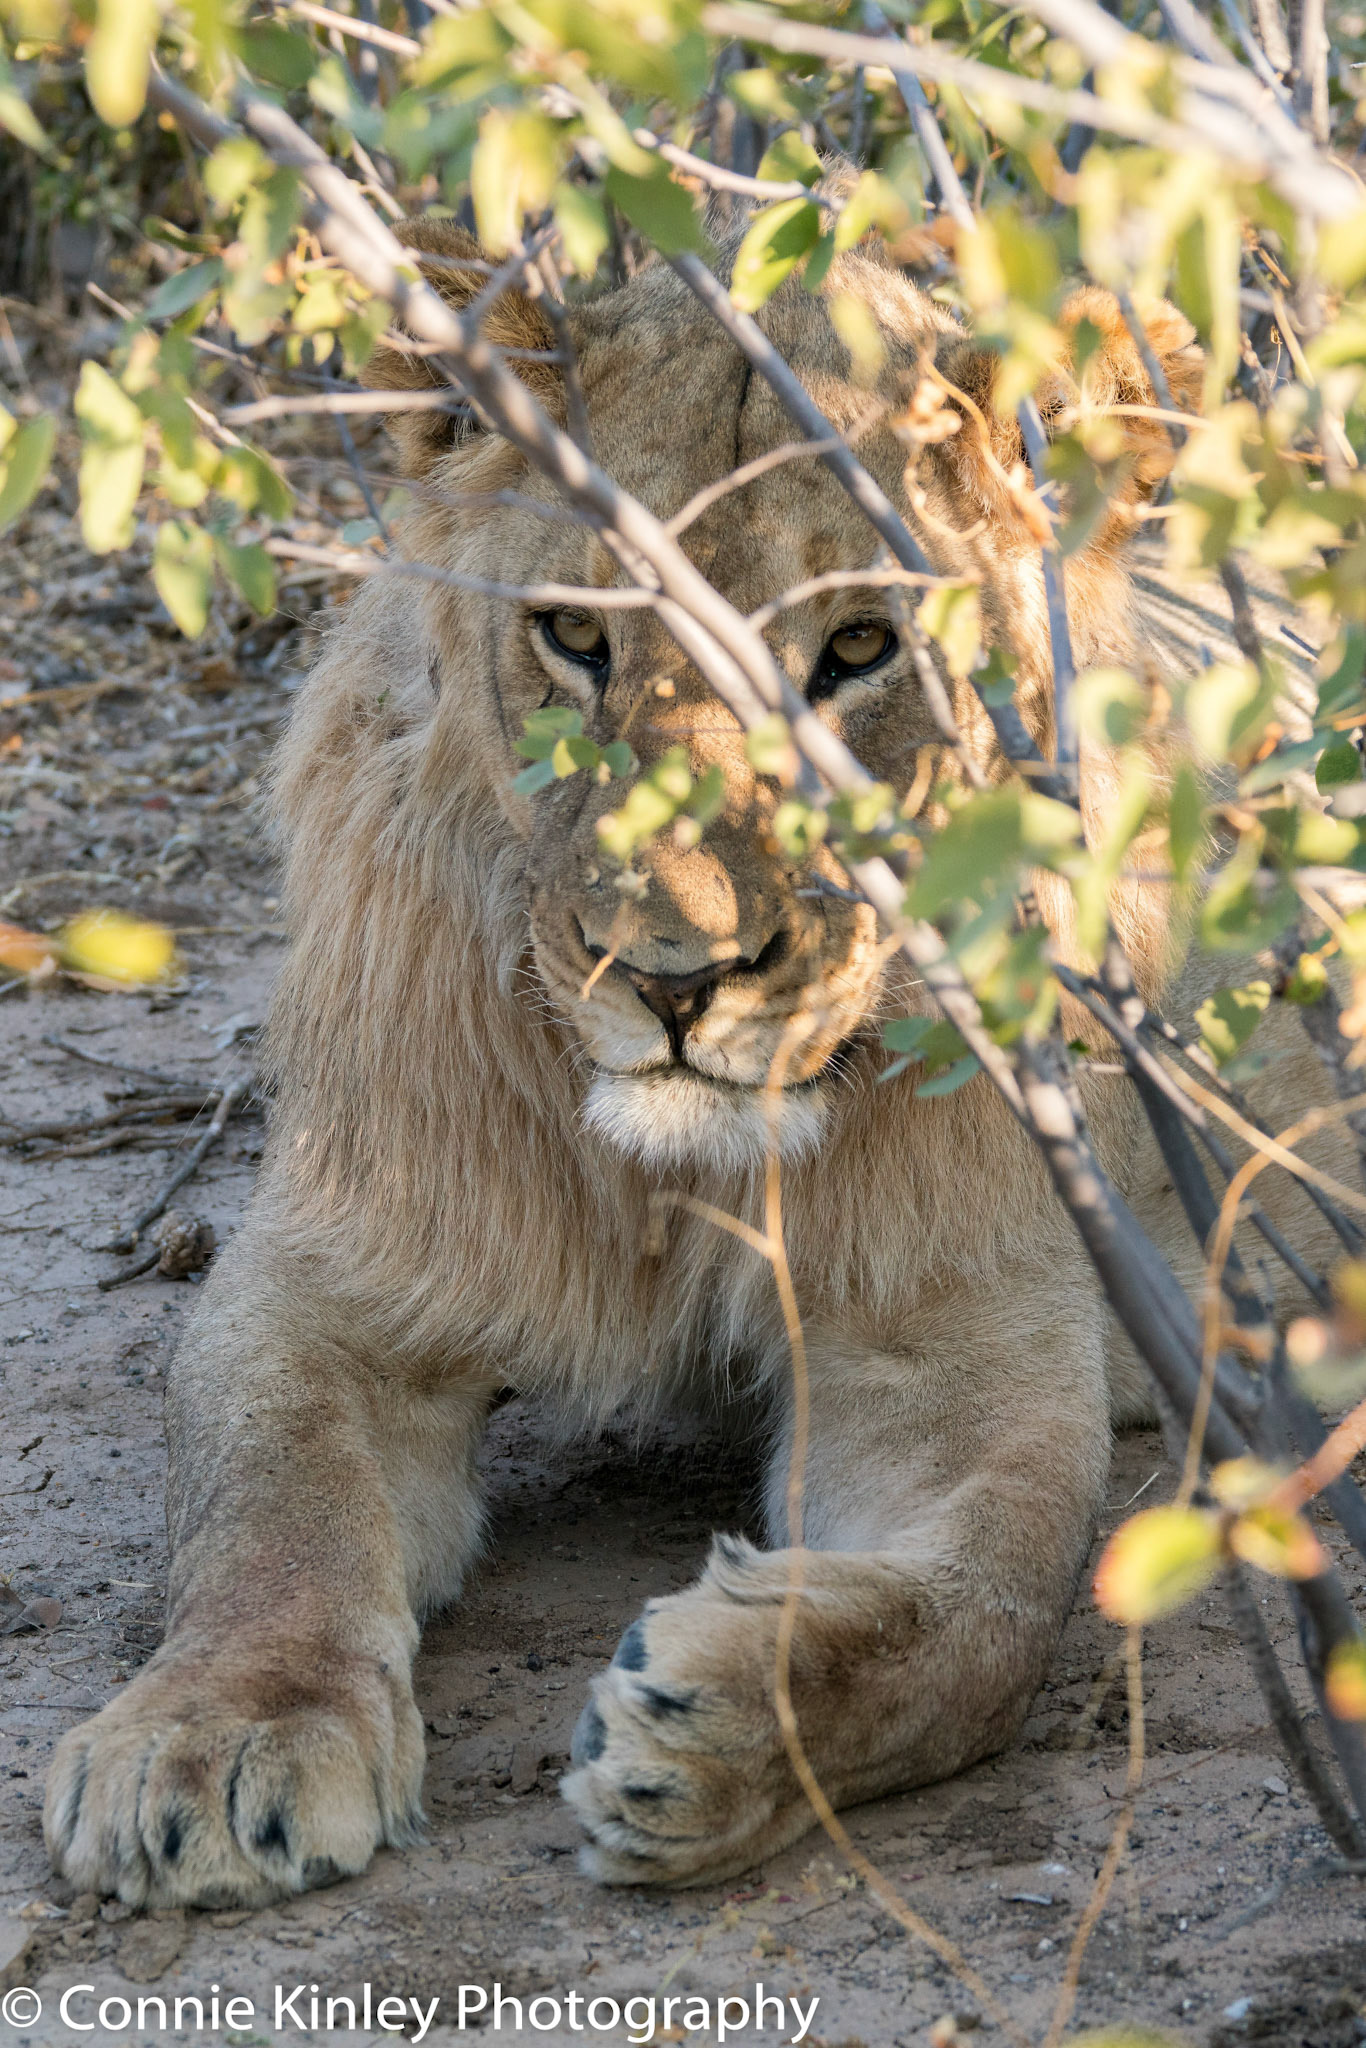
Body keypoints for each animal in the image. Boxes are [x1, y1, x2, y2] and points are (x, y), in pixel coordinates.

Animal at [44, 216, 1346, 1907]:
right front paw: (217, 1741)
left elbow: (985, 1613)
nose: (670, 977)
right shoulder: (334, 1280)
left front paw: (724, 1733)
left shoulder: (952, 1344)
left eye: (857, 649)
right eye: (574, 637)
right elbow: (270, 1505)